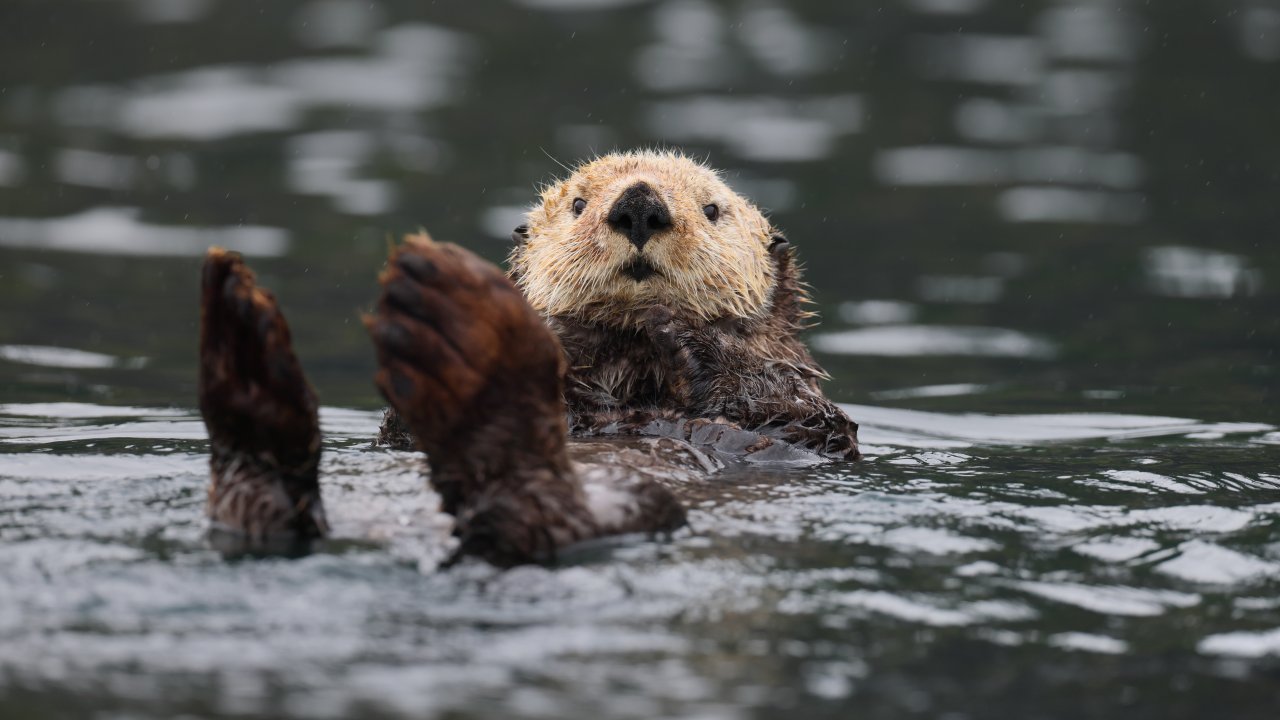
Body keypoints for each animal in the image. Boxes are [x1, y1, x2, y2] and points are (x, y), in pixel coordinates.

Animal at [198, 151, 858, 567]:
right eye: (578, 204)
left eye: (713, 210)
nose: (639, 205)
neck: (635, 371)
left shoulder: (801, 411)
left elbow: (789, 411)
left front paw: (676, 325)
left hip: (632, 506)